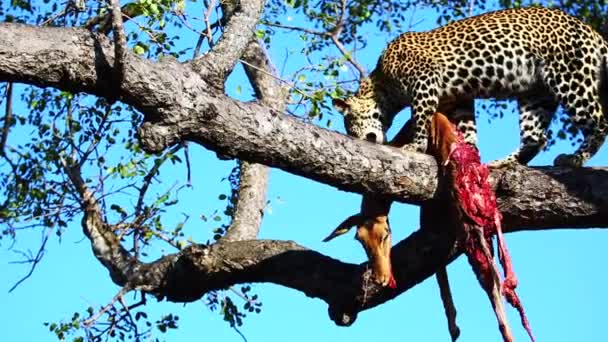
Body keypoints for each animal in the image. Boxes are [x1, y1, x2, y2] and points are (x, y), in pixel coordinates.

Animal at [332, 7, 608, 168]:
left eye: (352, 124)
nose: (365, 140)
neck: (383, 86)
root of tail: (591, 30)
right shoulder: (459, 100)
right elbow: (467, 129)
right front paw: (470, 152)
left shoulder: (425, 79)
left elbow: (420, 117)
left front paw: (416, 145)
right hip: (536, 95)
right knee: (536, 137)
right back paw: (503, 163)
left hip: (570, 77)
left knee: (600, 122)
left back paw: (575, 159)